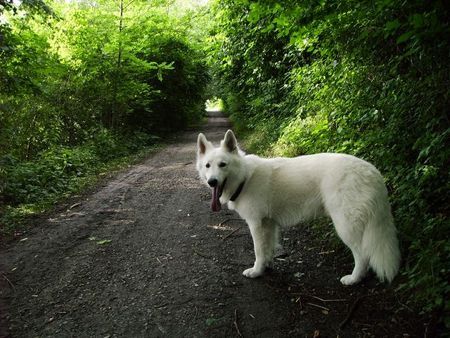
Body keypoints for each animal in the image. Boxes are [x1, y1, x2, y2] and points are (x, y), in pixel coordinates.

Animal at [197, 129, 400, 286]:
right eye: (207, 165)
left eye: (223, 165)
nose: (212, 182)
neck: (244, 178)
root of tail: (373, 172)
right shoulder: (268, 224)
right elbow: (267, 248)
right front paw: (266, 266)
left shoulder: (256, 224)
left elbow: (258, 250)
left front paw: (256, 271)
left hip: (346, 226)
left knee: (362, 255)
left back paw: (353, 279)